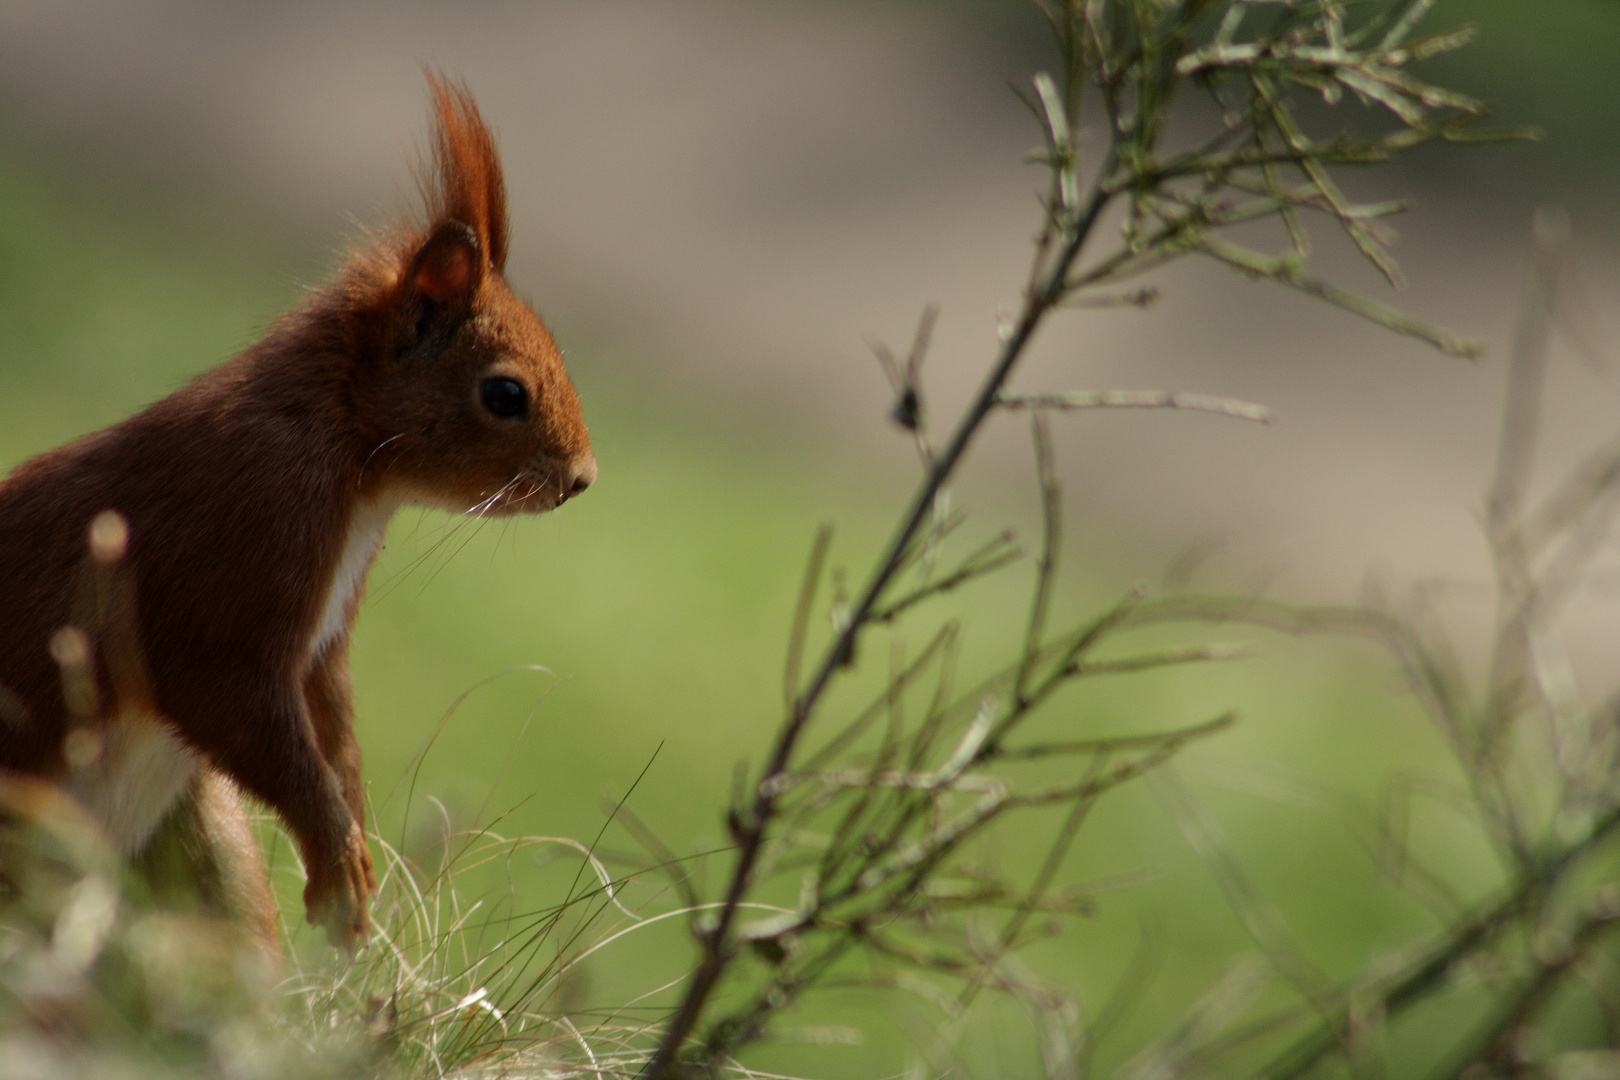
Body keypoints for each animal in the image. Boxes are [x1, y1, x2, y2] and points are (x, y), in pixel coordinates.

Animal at [0, 76, 592, 952]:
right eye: (506, 393)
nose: (583, 478)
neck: (348, 460)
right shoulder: (232, 560)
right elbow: (244, 710)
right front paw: (339, 863)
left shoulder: (322, 641)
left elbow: (332, 725)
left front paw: (357, 837)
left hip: (202, 855)